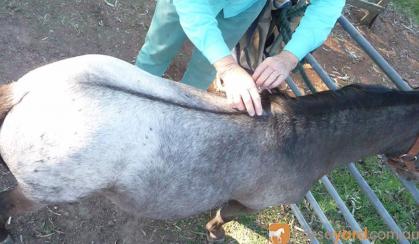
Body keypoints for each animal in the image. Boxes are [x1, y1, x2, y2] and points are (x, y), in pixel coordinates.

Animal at [0, 54, 418, 243]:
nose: (406, 169)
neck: (300, 138)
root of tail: (29, 91)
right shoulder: (250, 203)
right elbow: (225, 215)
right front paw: (215, 232)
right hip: (39, 192)